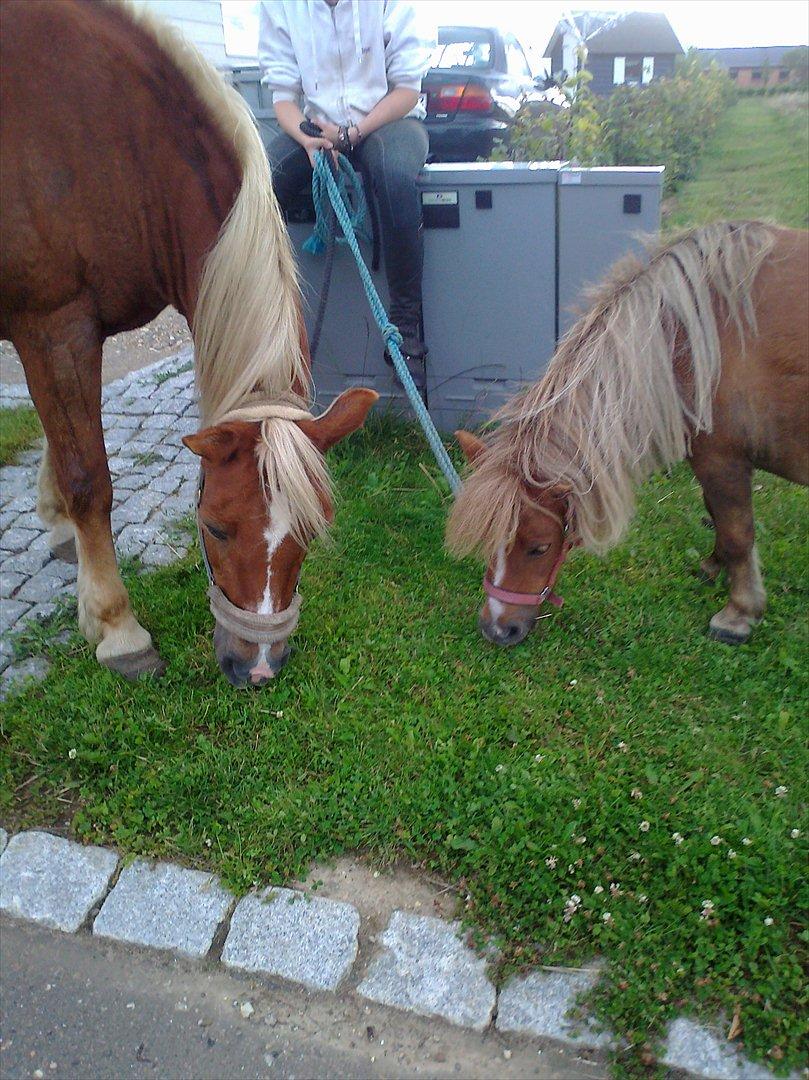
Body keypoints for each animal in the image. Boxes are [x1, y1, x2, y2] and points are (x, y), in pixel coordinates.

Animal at [0, 2, 375, 682]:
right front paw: (117, 627)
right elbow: (88, 477)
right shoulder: (54, 326)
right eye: (215, 528)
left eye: (312, 530)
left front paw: (61, 530)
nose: (257, 669)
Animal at [447, 217, 807, 639]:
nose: (496, 629)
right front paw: (712, 566)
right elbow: (717, 516)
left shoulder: (724, 459)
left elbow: (738, 533)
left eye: (538, 547)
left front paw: (739, 613)